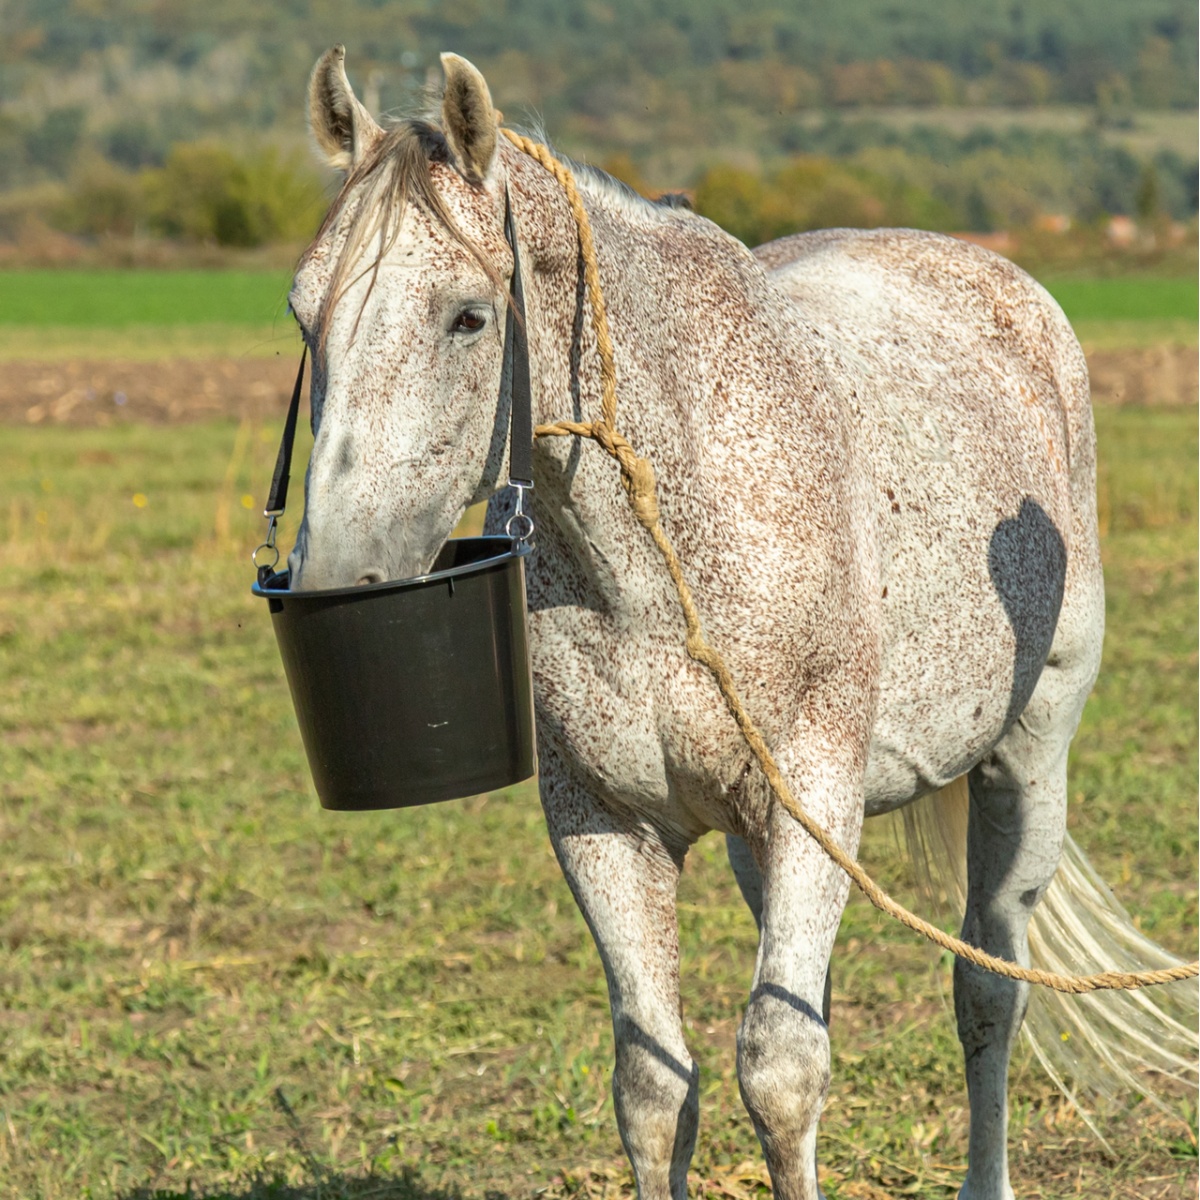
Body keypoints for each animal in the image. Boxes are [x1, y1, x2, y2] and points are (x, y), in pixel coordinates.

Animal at [283, 46, 1200, 1200]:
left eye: (468, 317)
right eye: (301, 314)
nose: (337, 577)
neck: (652, 564)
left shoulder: (814, 798)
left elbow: (781, 1067)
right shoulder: (606, 827)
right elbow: (653, 1087)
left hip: (1025, 766)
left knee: (989, 989)